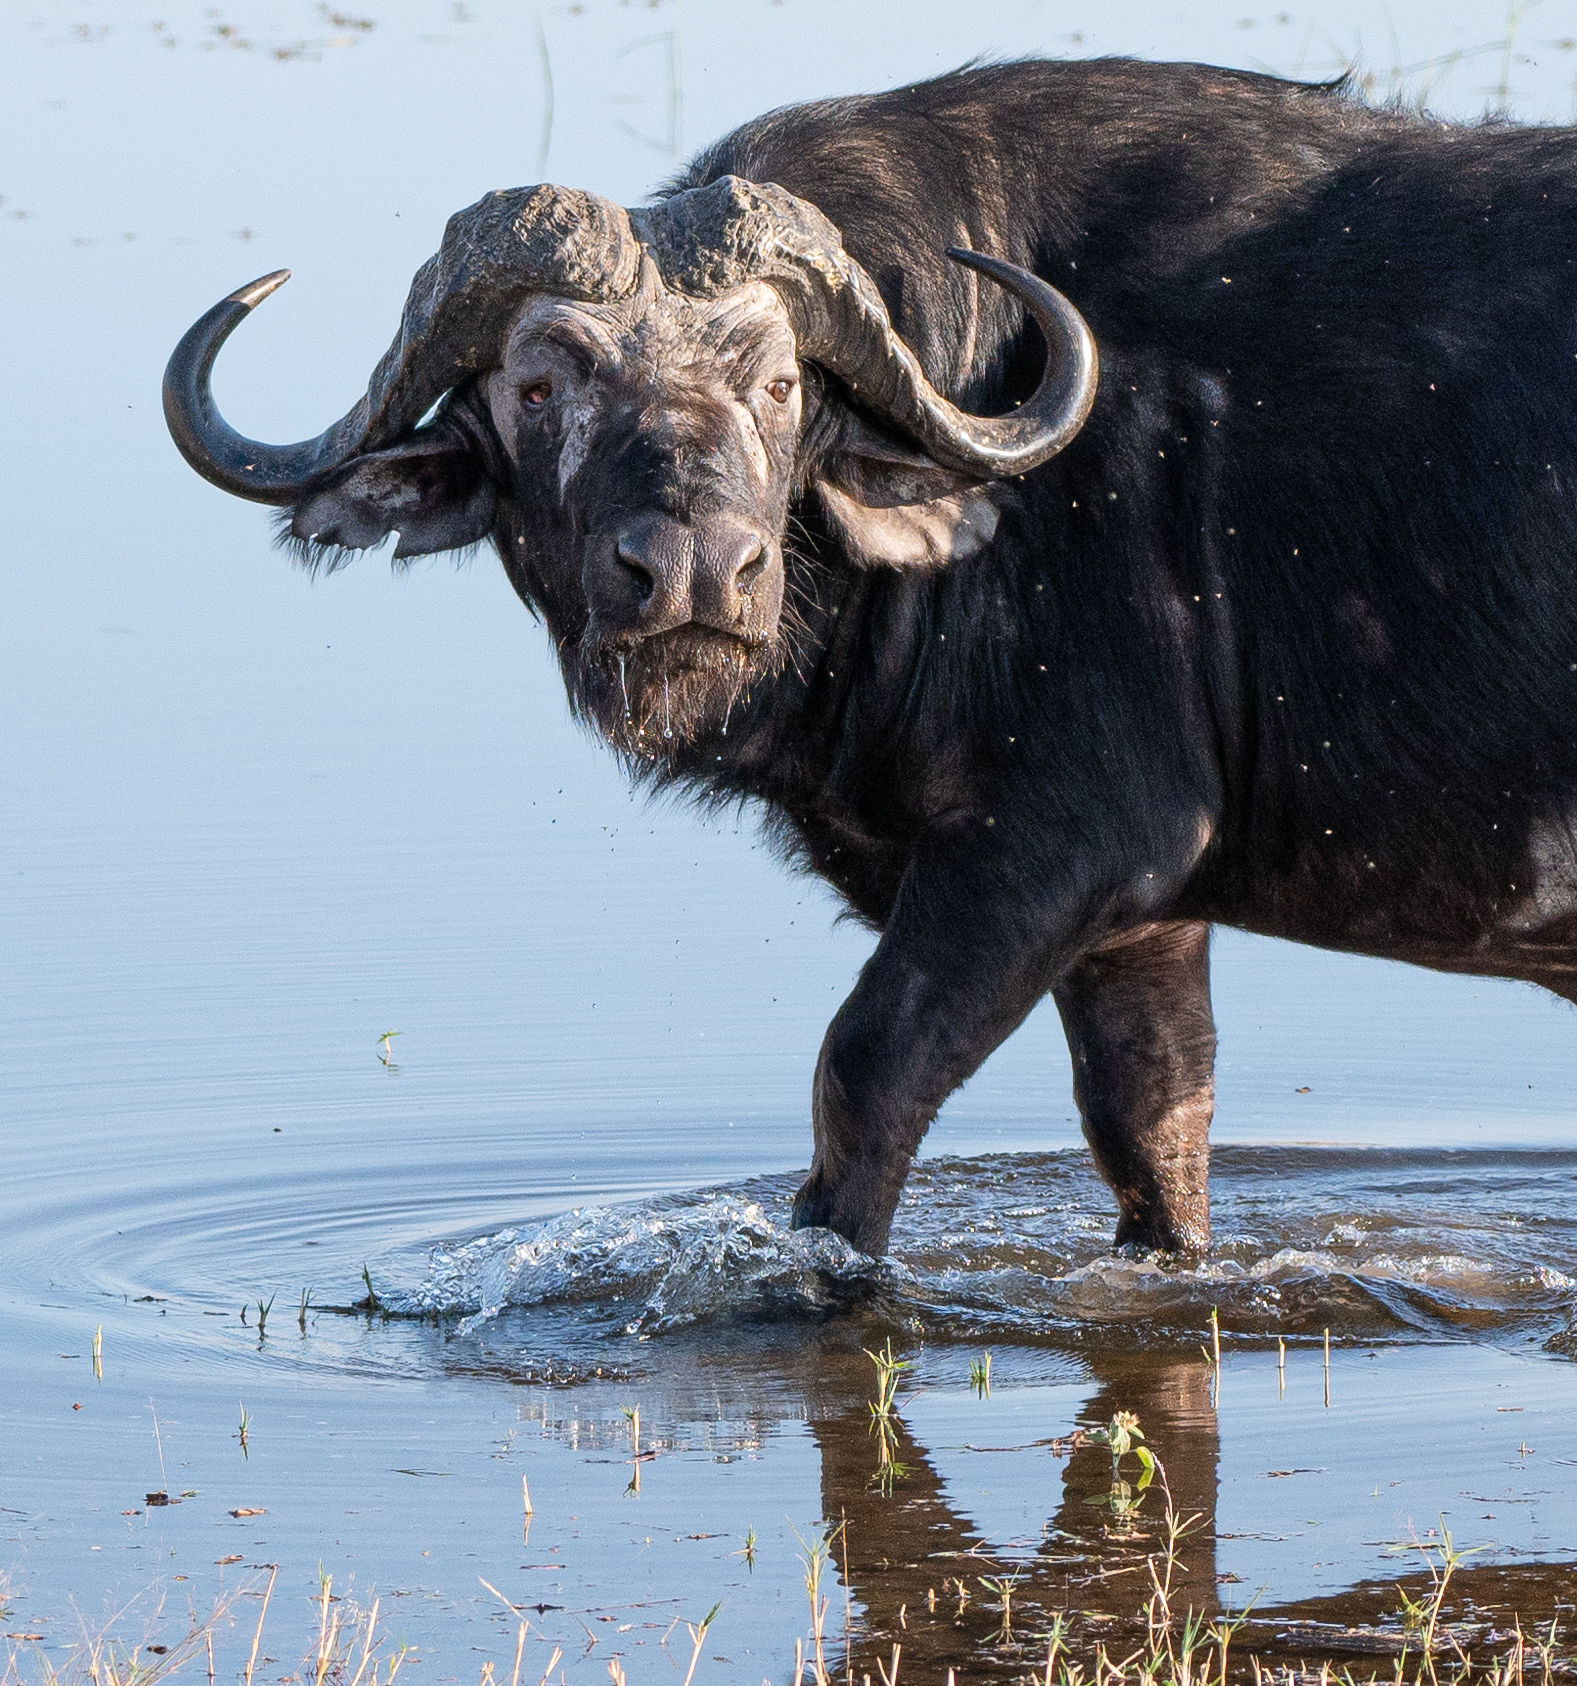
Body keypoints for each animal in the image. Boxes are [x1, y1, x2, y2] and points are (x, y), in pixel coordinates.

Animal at [166, 59, 1577, 1258]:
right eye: (536, 388)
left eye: (780, 383)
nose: (694, 570)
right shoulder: (1143, 926)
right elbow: (1151, 1140)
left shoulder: (1055, 850)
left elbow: (861, 1074)